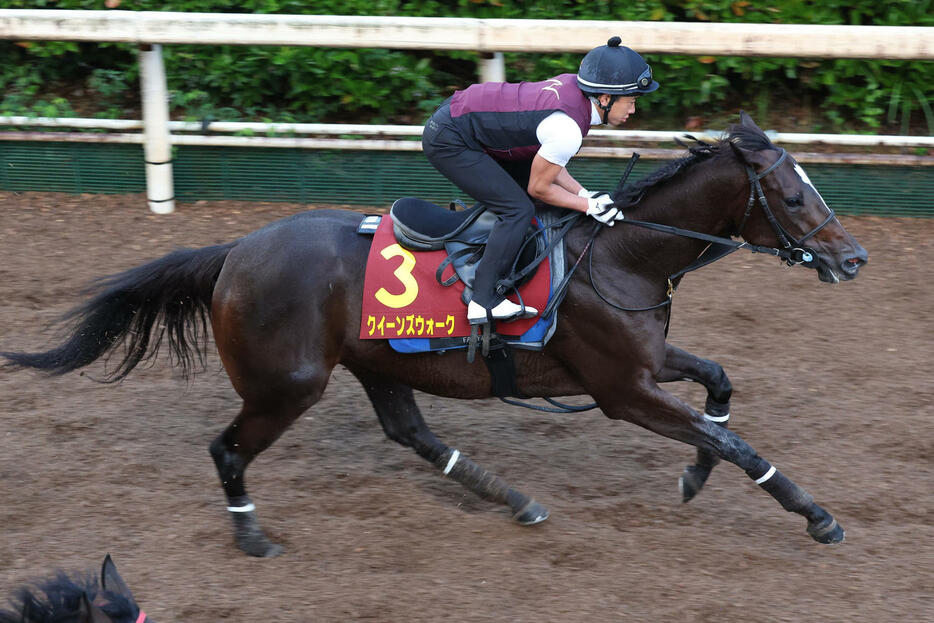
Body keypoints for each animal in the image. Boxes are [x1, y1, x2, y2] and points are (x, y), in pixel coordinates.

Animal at [1, 111, 872, 556]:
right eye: (794, 196)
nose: (853, 257)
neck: (620, 254)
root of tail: (234, 252)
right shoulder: (620, 388)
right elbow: (736, 441)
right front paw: (817, 515)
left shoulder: (645, 361)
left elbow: (719, 388)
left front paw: (694, 474)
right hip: (289, 383)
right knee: (228, 447)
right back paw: (251, 533)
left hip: (377, 361)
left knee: (411, 433)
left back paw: (516, 500)